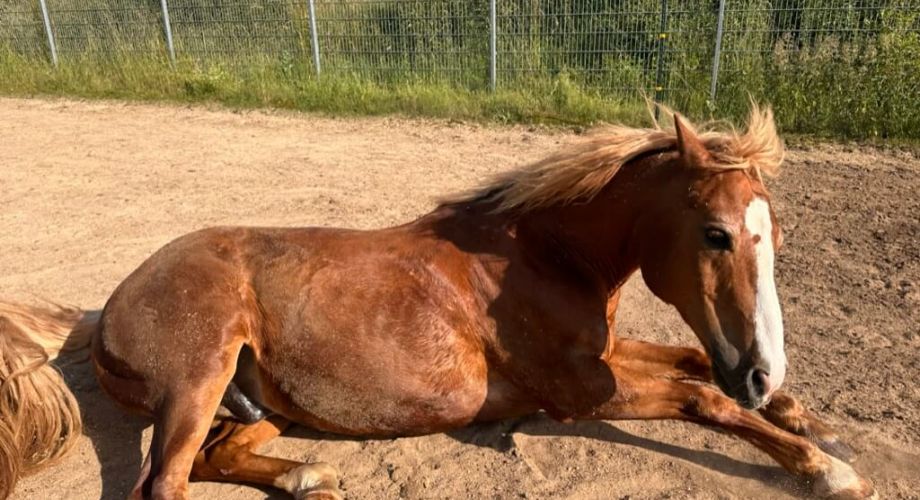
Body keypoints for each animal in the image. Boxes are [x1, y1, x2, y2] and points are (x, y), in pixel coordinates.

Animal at [0, 106, 875, 500]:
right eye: (717, 235)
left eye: (776, 235)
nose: (761, 371)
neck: (540, 253)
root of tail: (108, 305)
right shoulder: (581, 391)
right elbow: (703, 397)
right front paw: (827, 467)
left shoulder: (606, 355)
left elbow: (694, 359)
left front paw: (810, 419)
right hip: (197, 378)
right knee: (166, 483)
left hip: (255, 400)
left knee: (218, 456)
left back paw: (312, 476)